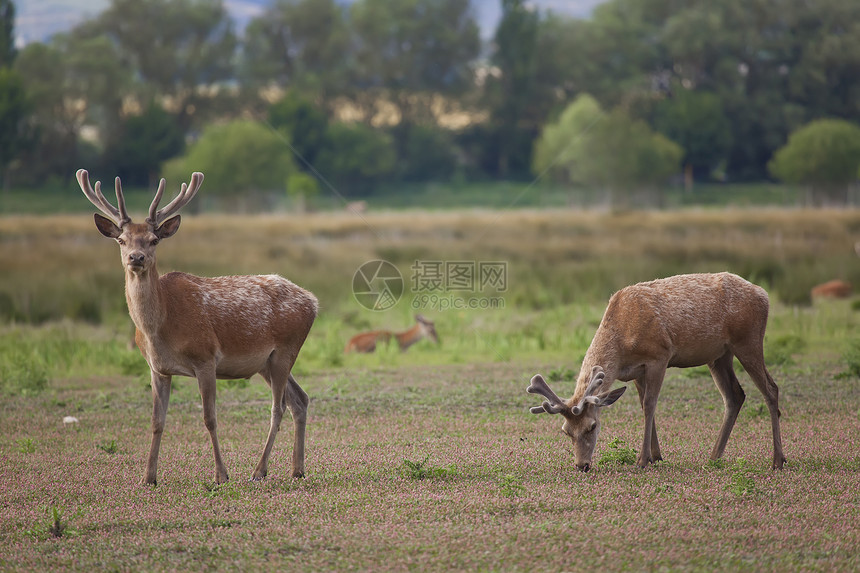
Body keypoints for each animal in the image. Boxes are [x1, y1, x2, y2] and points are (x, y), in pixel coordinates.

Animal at [76, 169, 320, 482]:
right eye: (121, 240)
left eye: (154, 240)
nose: (136, 258)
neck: (160, 328)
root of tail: (313, 301)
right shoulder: (157, 368)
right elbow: (156, 421)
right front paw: (148, 477)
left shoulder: (205, 359)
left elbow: (209, 418)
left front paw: (221, 475)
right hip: (266, 362)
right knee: (299, 400)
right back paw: (297, 469)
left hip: (286, 349)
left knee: (278, 408)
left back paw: (259, 470)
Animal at [524, 274, 788, 474]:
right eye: (566, 431)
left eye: (592, 426)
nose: (582, 465)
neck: (622, 341)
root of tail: (764, 294)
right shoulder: (636, 371)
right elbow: (643, 404)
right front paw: (655, 455)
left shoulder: (659, 356)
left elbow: (650, 405)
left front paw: (642, 460)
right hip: (719, 355)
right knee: (735, 395)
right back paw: (714, 457)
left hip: (749, 340)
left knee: (770, 388)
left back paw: (778, 460)